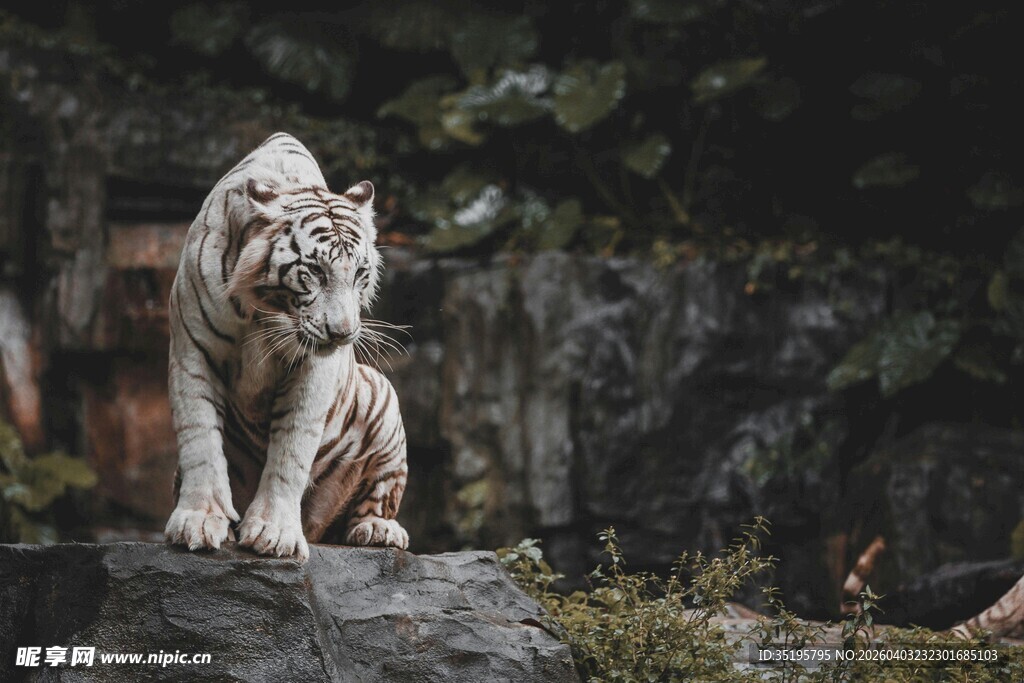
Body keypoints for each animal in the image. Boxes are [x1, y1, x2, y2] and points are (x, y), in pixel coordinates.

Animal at [164, 132, 408, 561]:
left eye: (360, 273)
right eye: (315, 271)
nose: (344, 333)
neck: (264, 311)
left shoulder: (314, 370)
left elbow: (291, 450)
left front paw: (274, 532)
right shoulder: (192, 351)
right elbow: (200, 440)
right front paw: (198, 520)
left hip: (383, 399)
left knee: (377, 498)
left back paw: (378, 529)